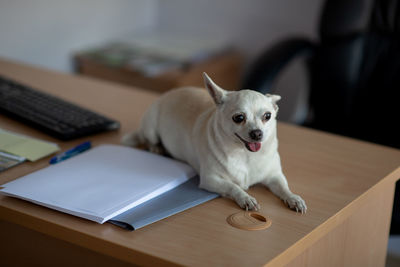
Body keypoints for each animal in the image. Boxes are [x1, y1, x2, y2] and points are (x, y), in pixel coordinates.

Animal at [122, 73, 306, 214]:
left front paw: (293, 198)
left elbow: (284, 187)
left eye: (267, 116)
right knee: (149, 139)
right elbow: (233, 187)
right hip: (151, 127)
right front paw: (246, 198)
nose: (257, 133)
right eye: (239, 118)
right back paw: (156, 148)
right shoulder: (210, 179)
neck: (244, 154)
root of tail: (167, 94)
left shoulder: (275, 176)